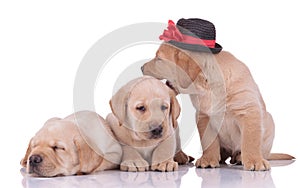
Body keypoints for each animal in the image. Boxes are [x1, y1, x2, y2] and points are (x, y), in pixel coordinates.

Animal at [142, 42, 294, 170]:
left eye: (159, 59)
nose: (141, 67)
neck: (207, 85)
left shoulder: (249, 110)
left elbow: (251, 140)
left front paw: (255, 161)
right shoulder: (203, 116)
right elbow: (209, 141)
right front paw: (208, 159)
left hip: (269, 121)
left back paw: (241, 157)